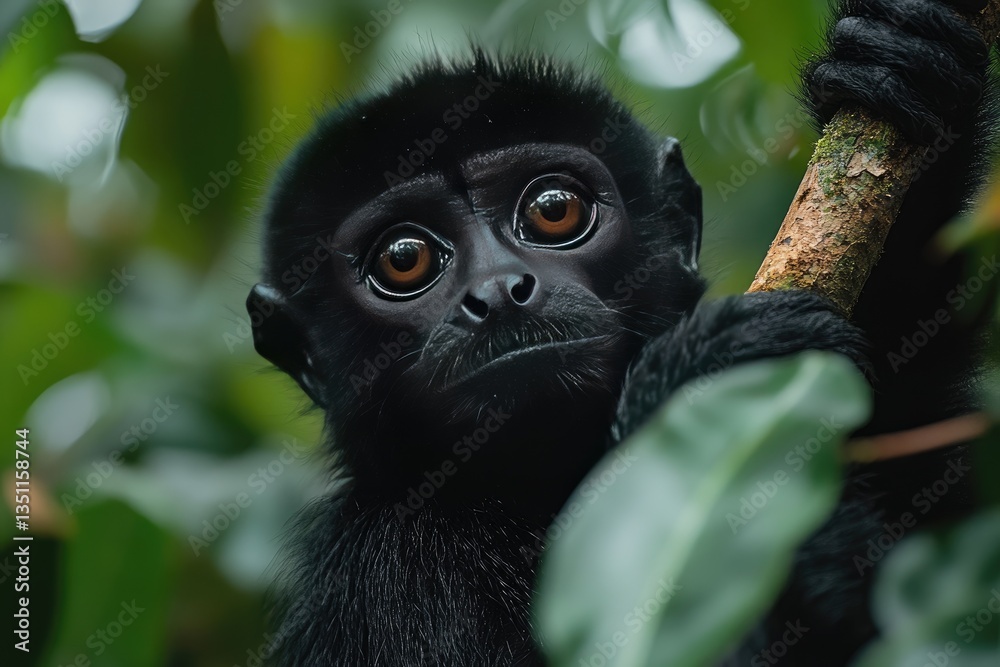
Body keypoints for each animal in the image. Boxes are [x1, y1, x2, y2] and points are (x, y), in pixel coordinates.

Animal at [246, 0, 995, 664]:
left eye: (553, 209)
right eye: (404, 259)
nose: (499, 292)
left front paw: (897, 59)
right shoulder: (389, 572)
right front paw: (704, 379)